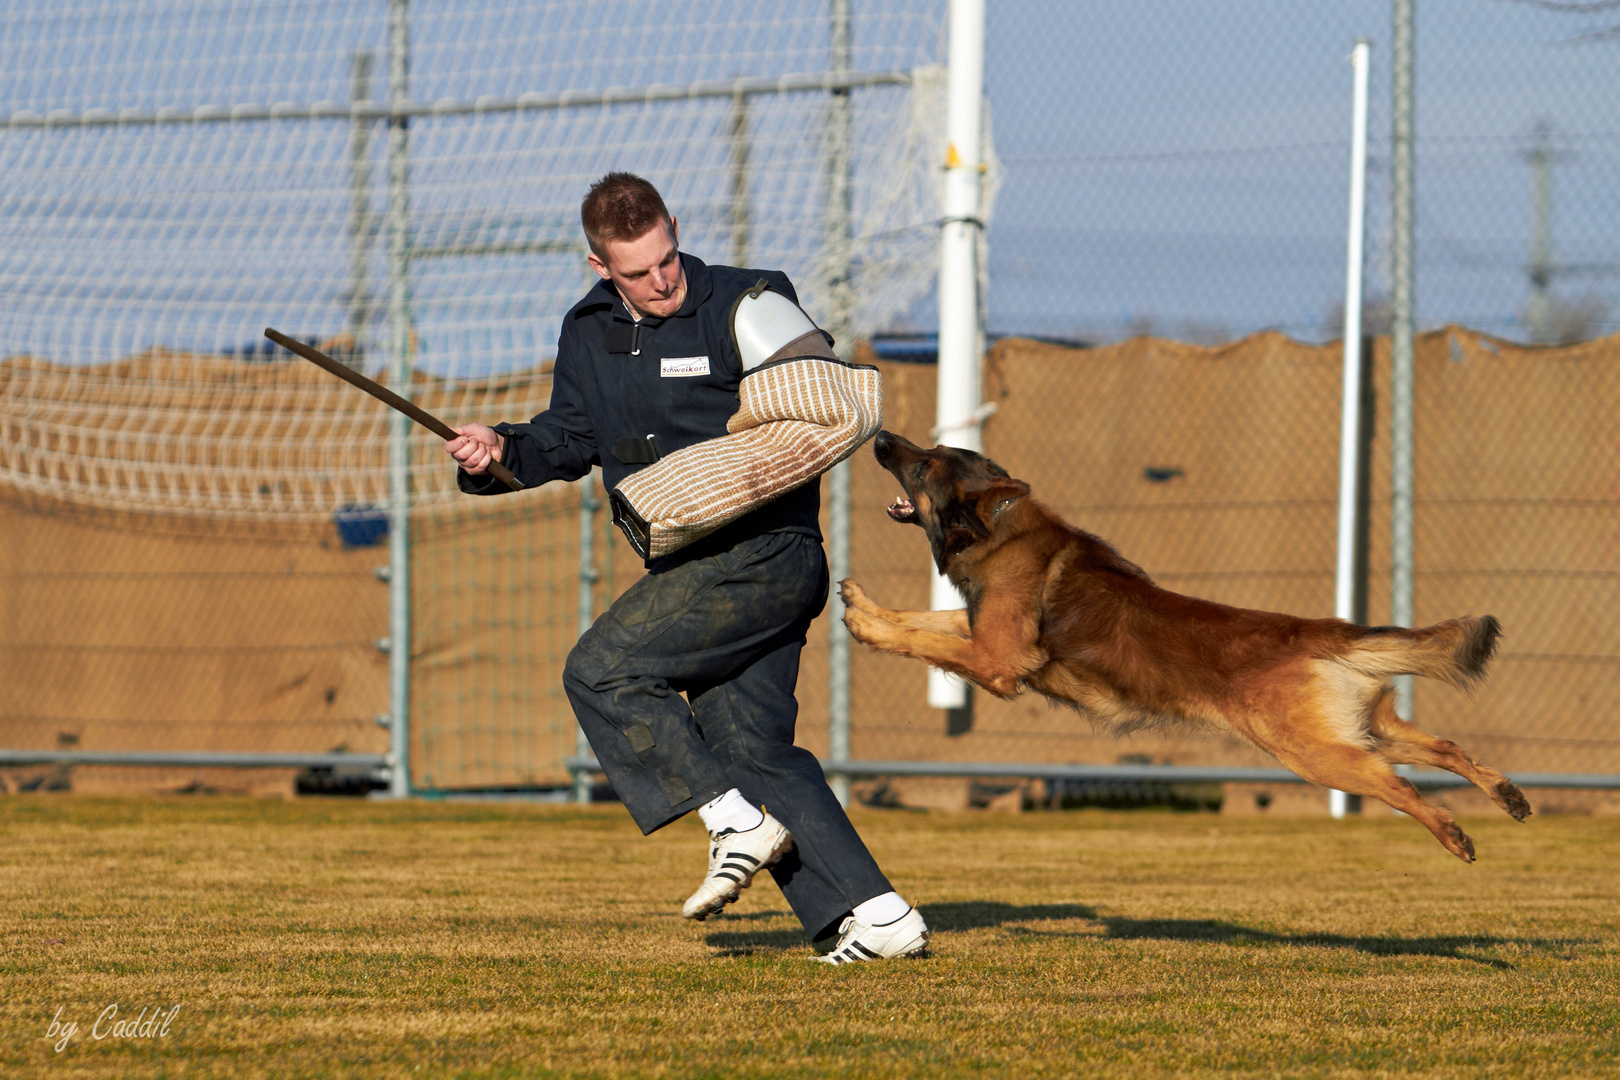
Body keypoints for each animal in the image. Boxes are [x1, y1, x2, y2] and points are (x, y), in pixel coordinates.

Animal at [835, 430, 1529, 861]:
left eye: (924, 465)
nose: (881, 438)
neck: (1000, 529)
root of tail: (1320, 632)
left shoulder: (997, 661)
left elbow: (924, 640)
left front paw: (869, 627)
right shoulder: (983, 631)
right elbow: (927, 619)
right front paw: (864, 606)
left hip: (1316, 753)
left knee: (1401, 787)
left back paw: (1453, 832)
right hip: (1365, 728)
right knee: (1446, 749)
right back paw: (1506, 794)